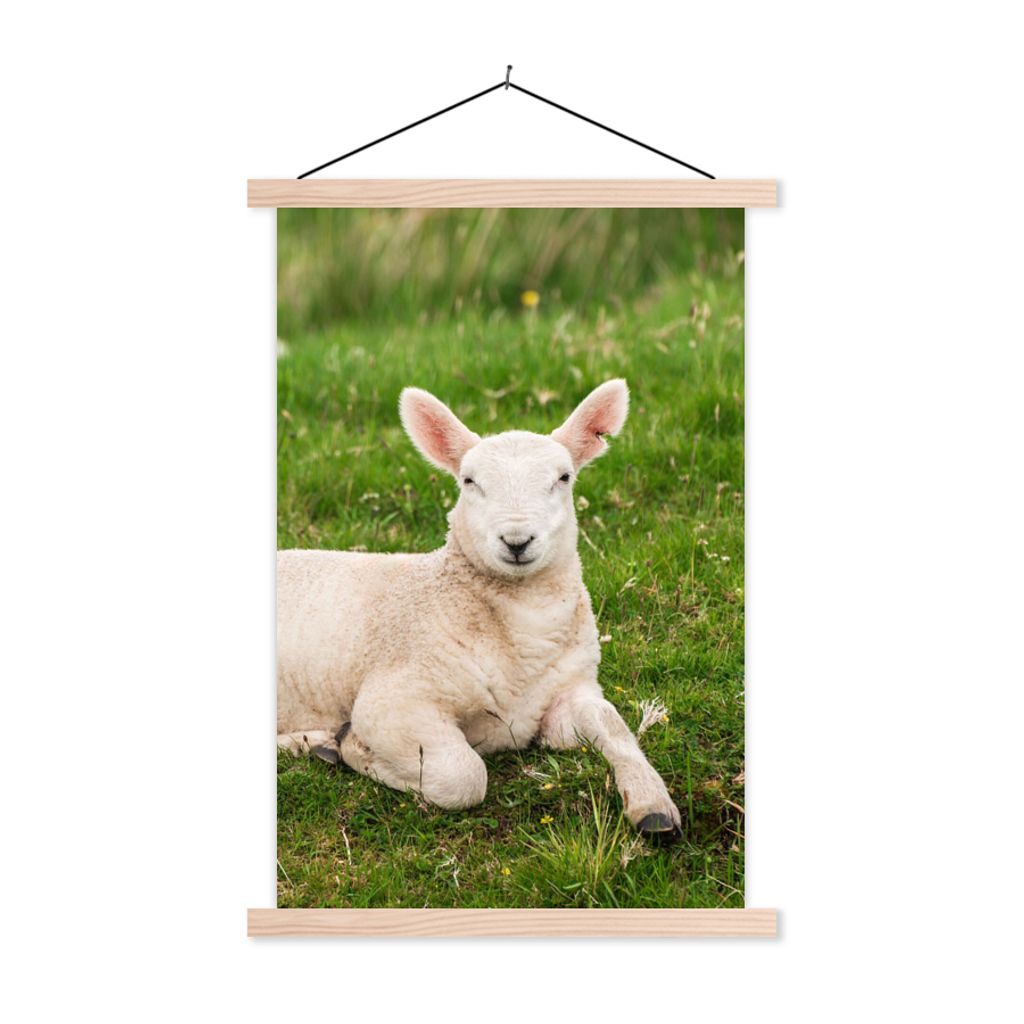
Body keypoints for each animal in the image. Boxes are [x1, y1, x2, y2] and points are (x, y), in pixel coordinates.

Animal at [277, 379, 682, 841]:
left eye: (563, 477)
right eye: (469, 481)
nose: (517, 540)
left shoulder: (571, 692)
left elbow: (611, 723)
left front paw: (653, 804)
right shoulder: (391, 699)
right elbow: (463, 775)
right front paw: (356, 748)